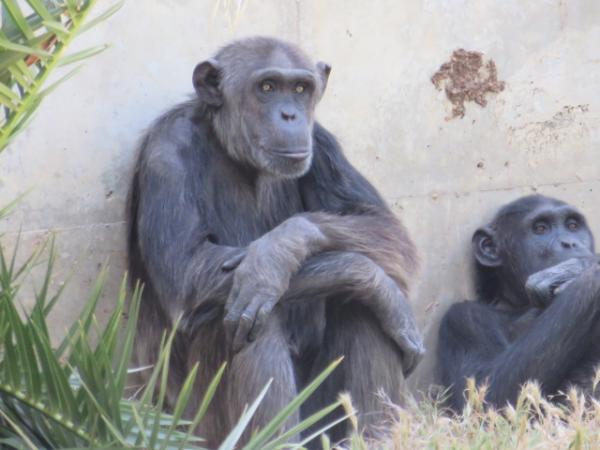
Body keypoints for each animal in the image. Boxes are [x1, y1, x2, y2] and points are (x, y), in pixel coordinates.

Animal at [129, 36, 424, 446]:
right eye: (267, 87)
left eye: (300, 89)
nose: (289, 115)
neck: (234, 152)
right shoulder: (166, 154)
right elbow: (187, 273)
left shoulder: (323, 143)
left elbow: (383, 226)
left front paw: (278, 252)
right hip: (196, 429)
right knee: (245, 316)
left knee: (361, 306)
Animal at [436, 194, 600, 412]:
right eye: (540, 229)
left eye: (572, 226)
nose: (569, 243)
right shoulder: (460, 320)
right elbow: (485, 394)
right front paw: (582, 269)